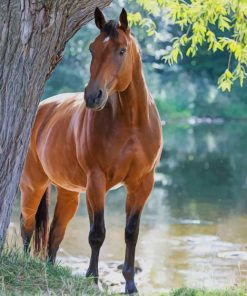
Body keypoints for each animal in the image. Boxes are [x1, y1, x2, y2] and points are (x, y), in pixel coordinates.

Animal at [19, 7, 162, 294]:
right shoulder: (96, 182)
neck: (131, 123)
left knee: (55, 231)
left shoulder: (142, 184)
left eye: (122, 50)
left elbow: (131, 232)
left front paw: (131, 284)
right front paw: (92, 279)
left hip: (68, 192)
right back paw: (27, 263)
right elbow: (97, 233)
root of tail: (41, 109)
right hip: (33, 185)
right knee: (26, 225)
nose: (93, 96)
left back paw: (49, 270)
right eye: (92, 48)